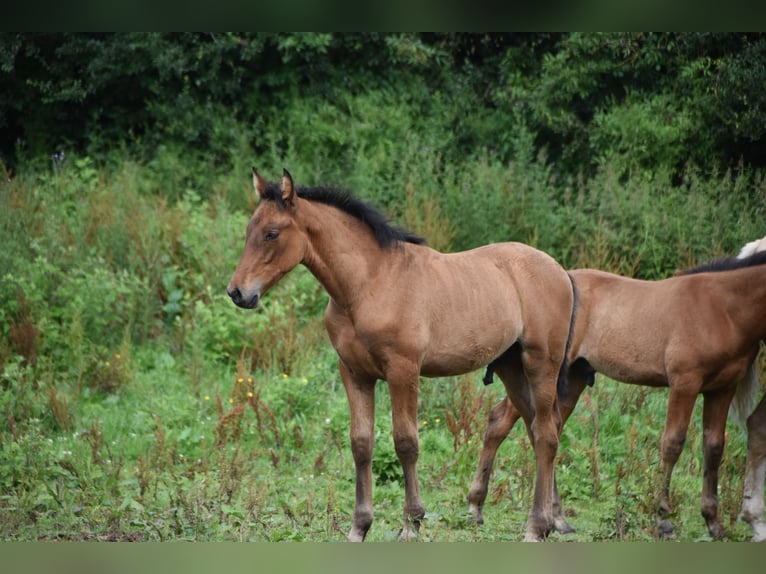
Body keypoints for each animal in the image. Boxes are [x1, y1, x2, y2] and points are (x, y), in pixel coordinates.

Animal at [228, 169, 576, 544]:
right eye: (248, 230)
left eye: (271, 233)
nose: (237, 293)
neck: (368, 284)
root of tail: (562, 272)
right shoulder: (354, 373)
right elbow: (361, 443)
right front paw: (359, 526)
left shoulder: (403, 370)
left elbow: (406, 442)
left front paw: (412, 523)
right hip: (512, 368)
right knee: (538, 429)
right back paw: (552, 520)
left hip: (541, 365)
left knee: (546, 434)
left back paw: (536, 527)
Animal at [468, 250, 766, 544]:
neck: (721, 308)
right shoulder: (685, 382)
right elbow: (673, 444)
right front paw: (664, 522)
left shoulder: (723, 388)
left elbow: (714, 447)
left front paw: (714, 523)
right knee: (504, 422)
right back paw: (478, 507)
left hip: (571, 381)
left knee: (537, 429)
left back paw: (548, 517)